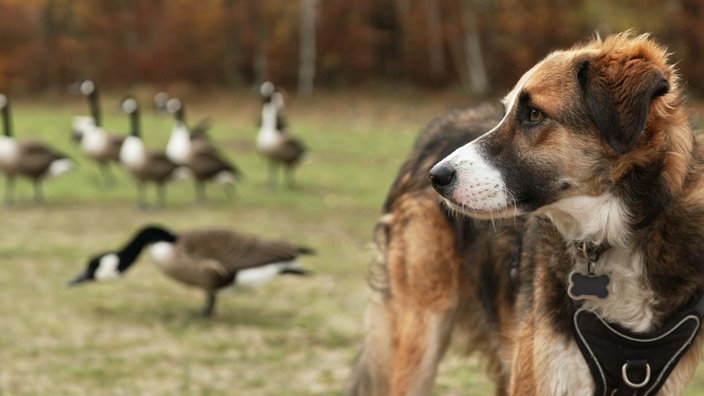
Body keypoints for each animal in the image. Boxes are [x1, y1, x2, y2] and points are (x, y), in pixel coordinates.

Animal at [350, 32, 704, 394]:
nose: (436, 177)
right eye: (507, 112)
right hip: (422, 331)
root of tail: (433, 132)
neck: (610, 239)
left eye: (534, 114)